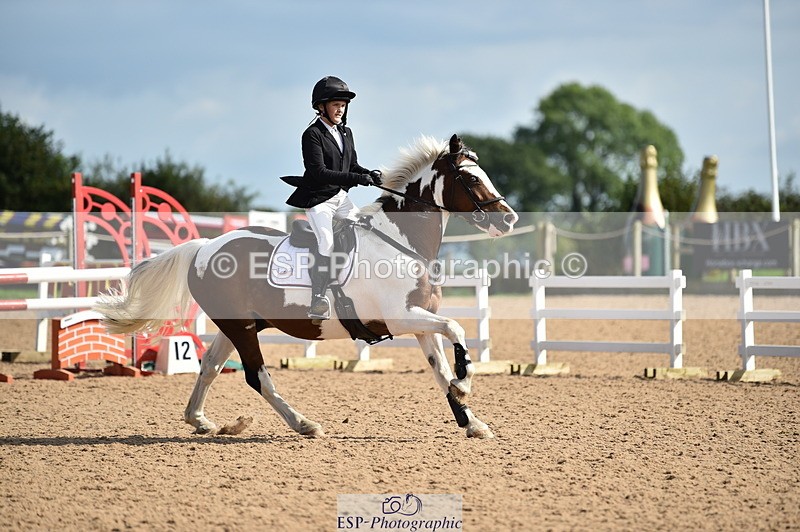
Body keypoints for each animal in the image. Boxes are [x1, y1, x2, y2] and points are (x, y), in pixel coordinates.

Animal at [95, 134, 519, 439]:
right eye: (471, 178)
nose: (510, 219)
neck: (402, 243)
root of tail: (204, 246)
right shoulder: (401, 318)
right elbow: (457, 330)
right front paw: (465, 384)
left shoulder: (419, 322)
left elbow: (440, 371)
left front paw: (471, 421)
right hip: (242, 328)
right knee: (256, 376)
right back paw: (304, 424)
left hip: (236, 325)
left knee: (211, 366)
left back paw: (200, 421)